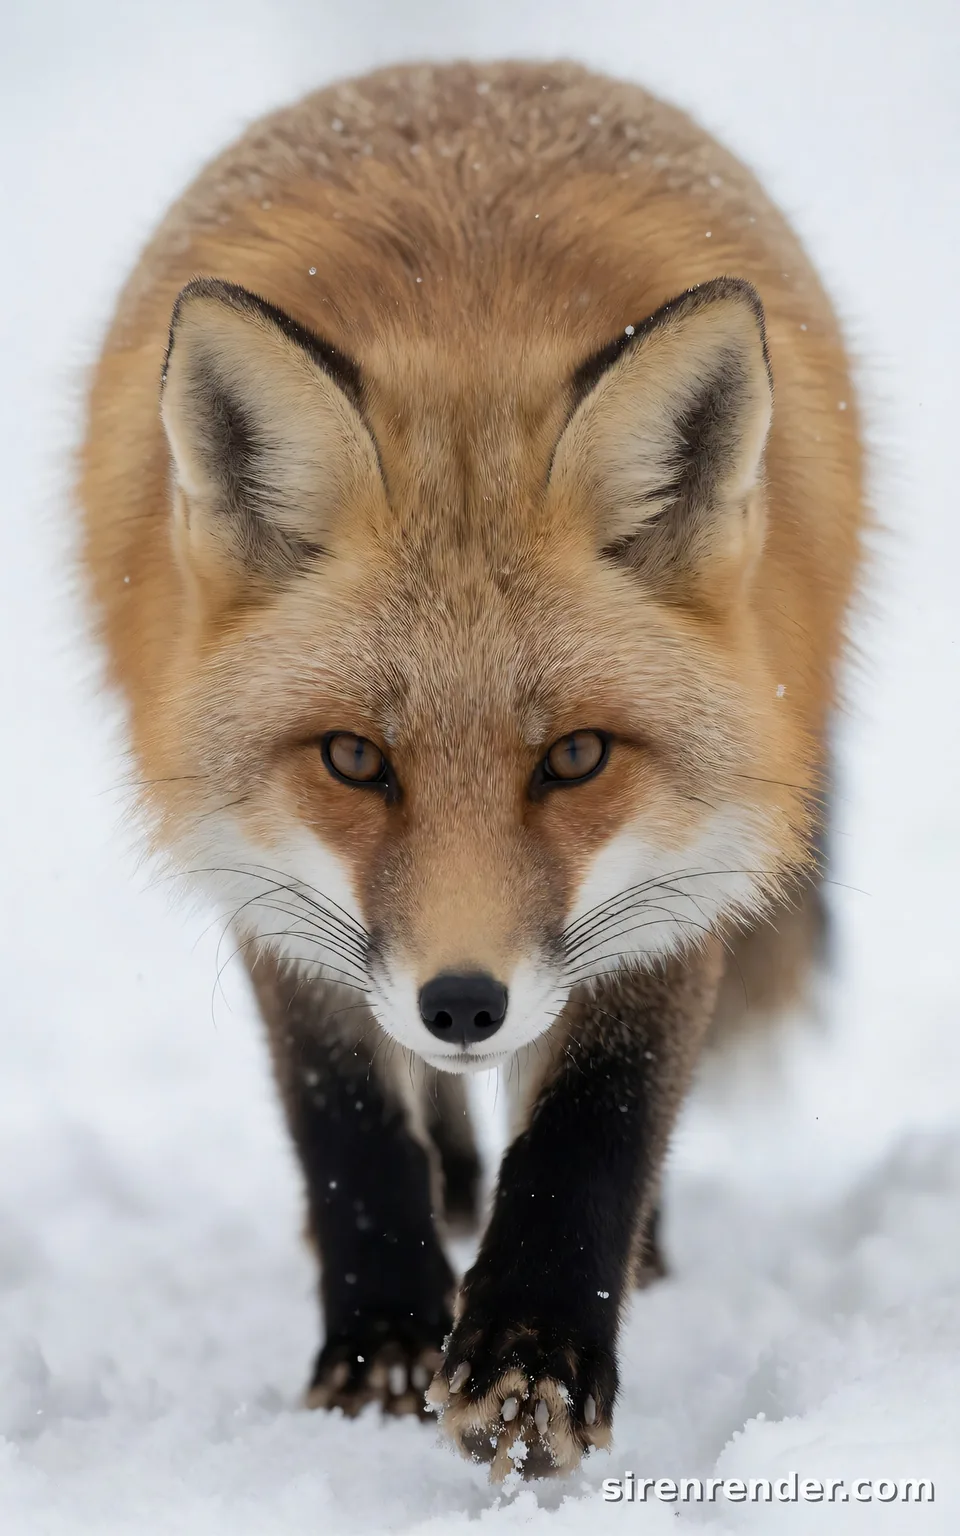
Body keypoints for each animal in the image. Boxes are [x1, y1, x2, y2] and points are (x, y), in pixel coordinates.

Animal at [79, 60, 864, 1478]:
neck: (469, 330)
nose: (461, 1006)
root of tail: (463, 71)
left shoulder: (689, 874)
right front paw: (384, 1342)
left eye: (577, 757)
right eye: (352, 759)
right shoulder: (271, 890)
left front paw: (531, 1359)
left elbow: (600, 1121)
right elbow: (343, 1117)